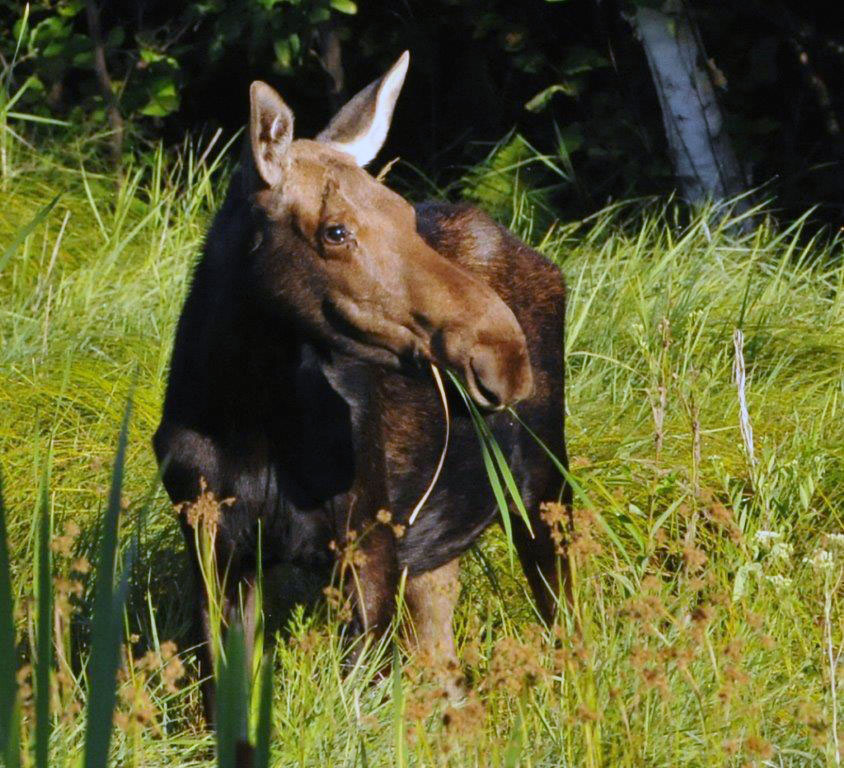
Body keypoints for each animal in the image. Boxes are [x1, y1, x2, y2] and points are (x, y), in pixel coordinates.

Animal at [153, 51, 570, 719]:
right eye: (334, 230)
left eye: (404, 213)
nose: (502, 353)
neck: (245, 411)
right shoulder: (212, 544)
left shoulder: (367, 539)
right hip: (433, 542)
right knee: (442, 654)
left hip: (543, 480)